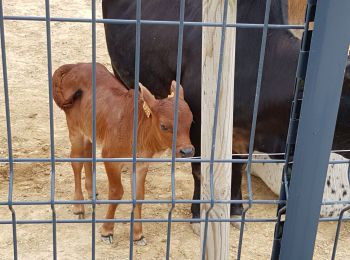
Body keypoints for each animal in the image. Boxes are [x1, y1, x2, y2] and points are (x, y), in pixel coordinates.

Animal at [52, 62, 194, 245]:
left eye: (190, 121)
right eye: (163, 126)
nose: (187, 151)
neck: (137, 128)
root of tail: (76, 65)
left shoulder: (141, 165)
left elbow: (139, 196)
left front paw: (138, 234)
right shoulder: (110, 158)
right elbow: (116, 192)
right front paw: (107, 231)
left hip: (90, 129)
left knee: (88, 154)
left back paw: (92, 193)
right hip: (75, 129)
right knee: (76, 161)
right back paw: (79, 206)